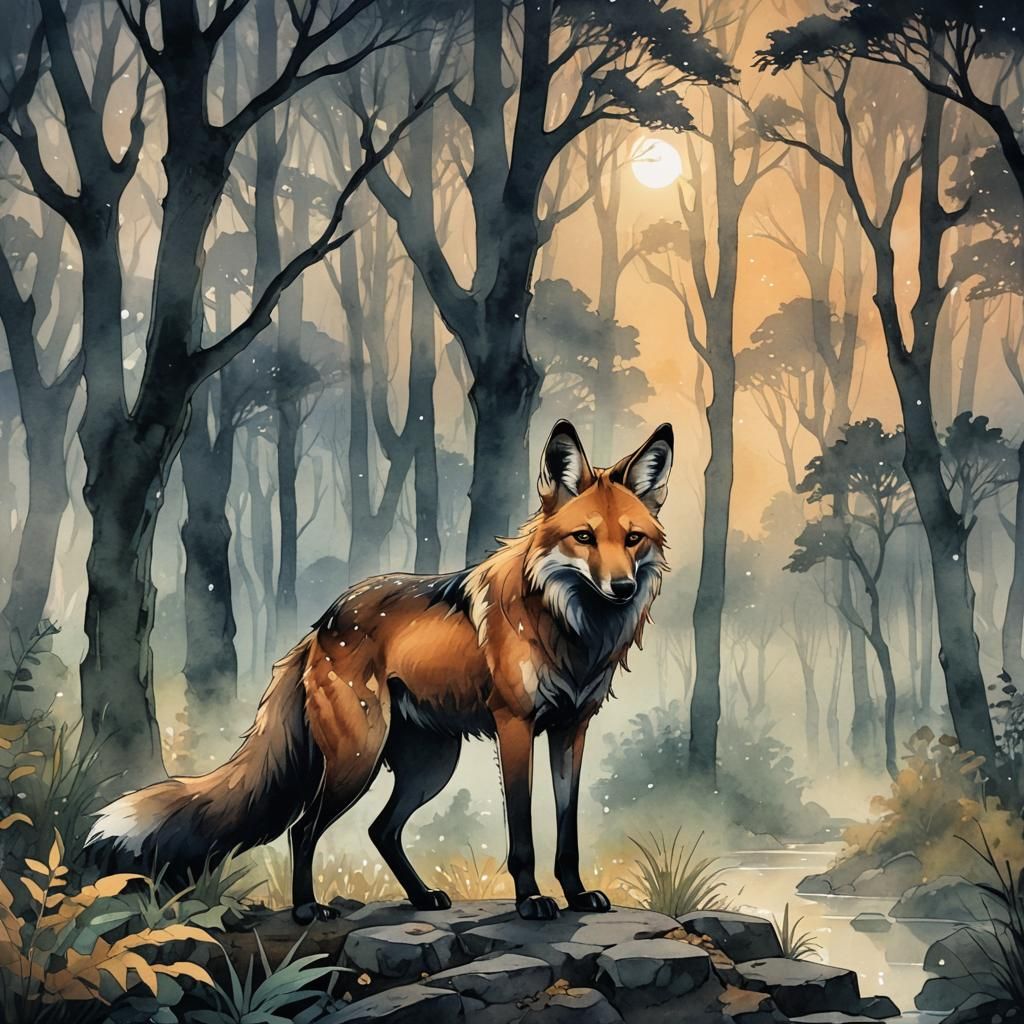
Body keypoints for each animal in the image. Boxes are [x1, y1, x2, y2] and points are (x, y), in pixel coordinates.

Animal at [87, 420, 673, 922]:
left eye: (632, 539)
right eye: (583, 537)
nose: (622, 587)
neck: (569, 630)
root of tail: (322, 622)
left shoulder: (571, 728)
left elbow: (568, 833)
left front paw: (575, 895)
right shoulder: (515, 727)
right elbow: (524, 836)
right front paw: (531, 901)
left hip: (429, 766)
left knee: (381, 831)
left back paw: (420, 897)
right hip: (359, 757)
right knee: (303, 829)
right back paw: (307, 909)